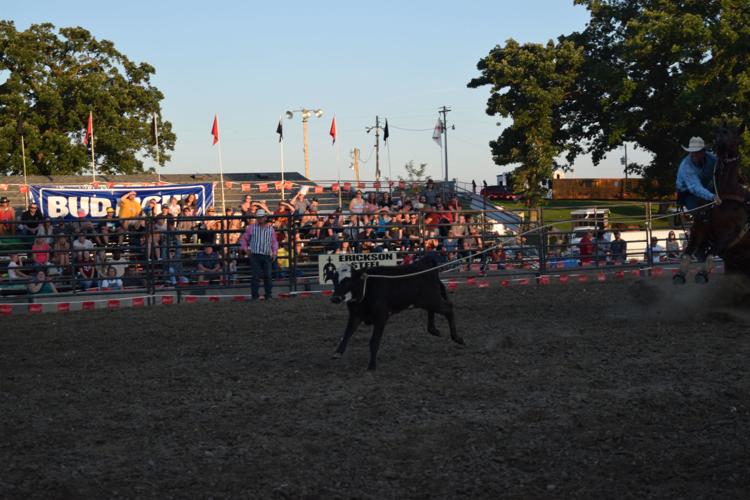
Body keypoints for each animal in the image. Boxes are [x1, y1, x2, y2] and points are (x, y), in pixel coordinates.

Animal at [676, 128, 750, 286]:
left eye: (736, 139)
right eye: (720, 131)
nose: (719, 142)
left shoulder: (729, 235)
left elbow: (711, 253)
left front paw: (702, 274)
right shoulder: (697, 230)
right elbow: (687, 252)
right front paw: (679, 275)